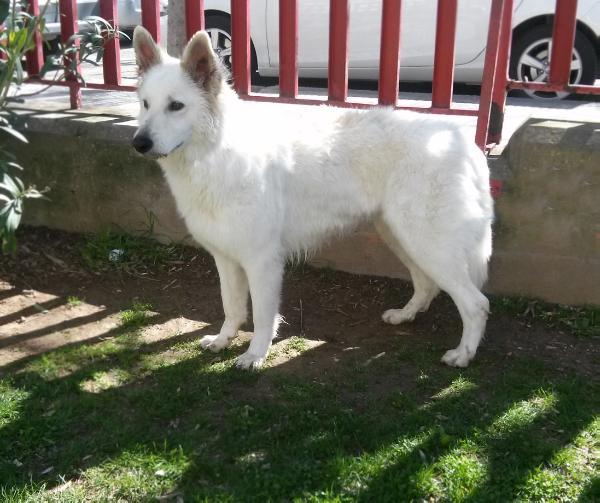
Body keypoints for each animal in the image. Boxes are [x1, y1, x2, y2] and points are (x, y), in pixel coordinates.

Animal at [131, 27, 492, 370]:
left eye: (176, 106)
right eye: (145, 104)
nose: (139, 143)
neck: (216, 154)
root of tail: (466, 141)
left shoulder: (262, 262)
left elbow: (262, 317)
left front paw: (255, 355)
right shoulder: (225, 258)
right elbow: (231, 307)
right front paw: (223, 340)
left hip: (428, 245)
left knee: (477, 304)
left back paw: (463, 355)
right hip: (402, 238)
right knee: (427, 285)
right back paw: (405, 315)